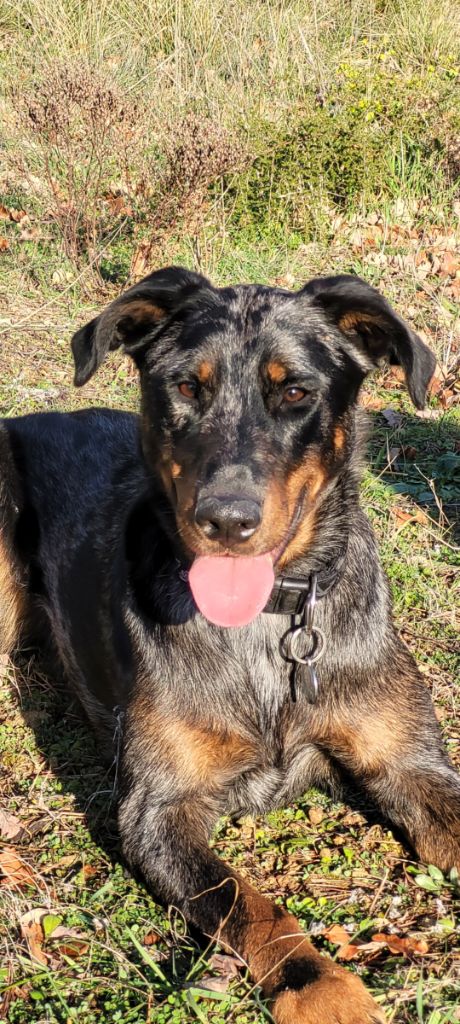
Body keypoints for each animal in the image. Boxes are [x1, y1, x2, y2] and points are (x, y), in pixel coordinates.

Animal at [0, 270, 458, 1024]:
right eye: (186, 387)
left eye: (296, 393)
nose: (226, 519)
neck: (267, 626)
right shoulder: (157, 812)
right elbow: (251, 905)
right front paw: (321, 988)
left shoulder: (411, 765)